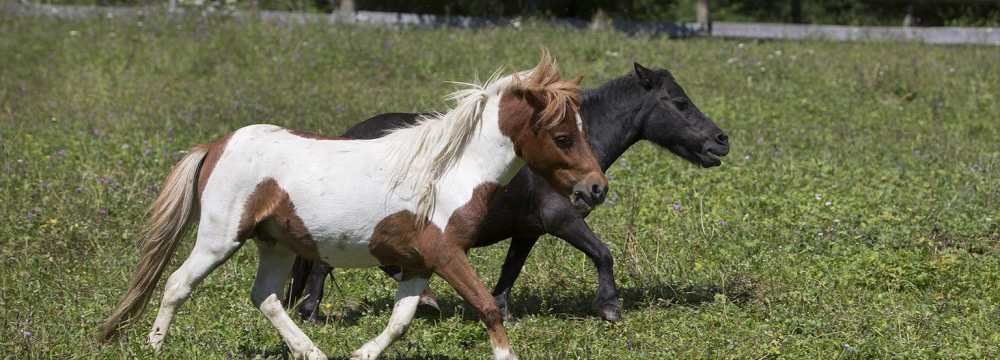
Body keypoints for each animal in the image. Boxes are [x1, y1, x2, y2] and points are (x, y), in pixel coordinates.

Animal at [97, 51, 604, 360]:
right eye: (563, 137)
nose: (596, 188)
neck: (449, 174)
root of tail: (217, 145)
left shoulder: (419, 262)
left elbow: (402, 320)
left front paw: (362, 352)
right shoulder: (446, 253)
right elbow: (487, 306)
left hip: (276, 244)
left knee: (265, 298)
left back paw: (313, 352)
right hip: (220, 239)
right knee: (178, 284)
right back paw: (155, 345)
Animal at [286, 62, 732, 324]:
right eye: (679, 102)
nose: (721, 141)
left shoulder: (528, 230)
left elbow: (510, 272)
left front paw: (499, 310)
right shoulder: (561, 219)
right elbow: (603, 253)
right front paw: (609, 306)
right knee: (324, 264)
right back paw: (312, 313)